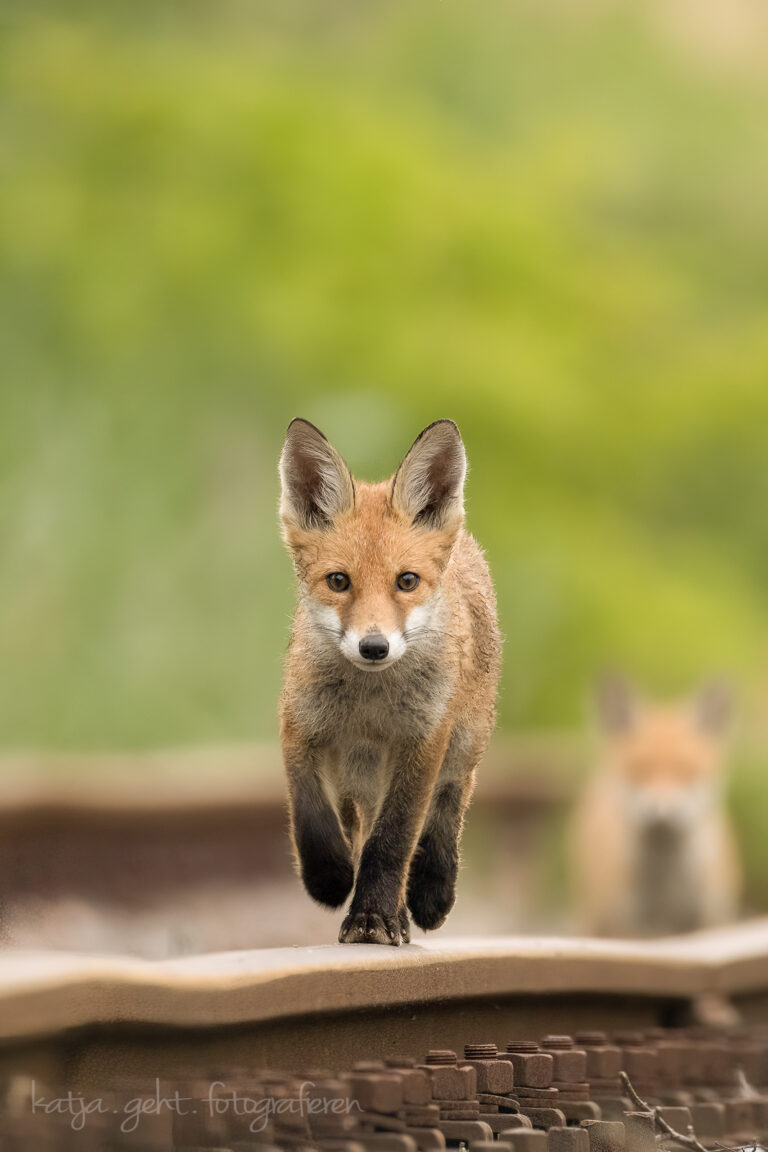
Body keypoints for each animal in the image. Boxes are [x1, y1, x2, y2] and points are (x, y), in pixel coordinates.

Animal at [279, 419, 502, 940]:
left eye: (406, 581)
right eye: (339, 582)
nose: (374, 647)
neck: (369, 708)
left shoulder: (423, 742)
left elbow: (394, 840)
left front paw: (373, 916)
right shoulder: (298, 726)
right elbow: (311, 815)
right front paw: (330, 877)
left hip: (464, 745)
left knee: (446, 809)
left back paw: (427, 893)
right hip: (355, 776)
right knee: (357, 824)